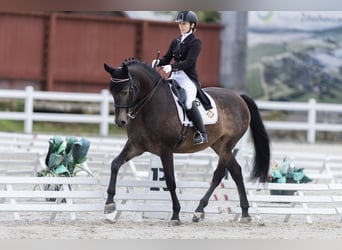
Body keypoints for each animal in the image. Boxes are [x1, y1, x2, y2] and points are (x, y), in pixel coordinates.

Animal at [102, 58, 270, 225]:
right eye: (112, 91)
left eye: (125, 91)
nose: (120, 121)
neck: (150, 105)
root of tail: (239, 97)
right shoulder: (136, 146)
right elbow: (115, 164)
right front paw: (109, 204)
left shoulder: (166, 149)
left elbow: (170, 181)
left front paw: (175, 215)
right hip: (218, 144)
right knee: (236, 171)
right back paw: (242, 213)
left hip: (227, 145)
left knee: (219, 174)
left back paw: (202, 211)